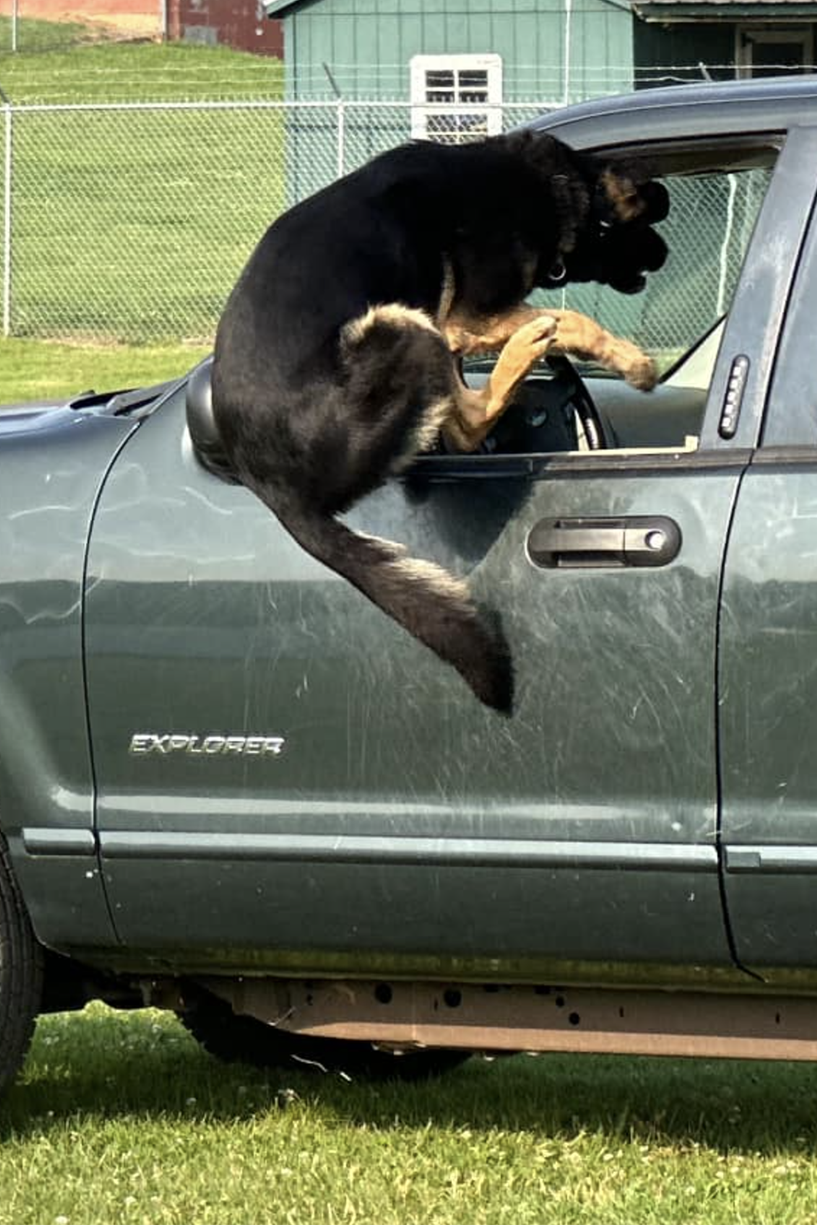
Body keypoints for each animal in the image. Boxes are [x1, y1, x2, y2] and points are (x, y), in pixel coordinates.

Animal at [213, 129, 671, 715]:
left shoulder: (464, 323)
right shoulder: (469, 318)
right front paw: (633, 361)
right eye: (644, 229)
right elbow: (571, 317)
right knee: (470, 418)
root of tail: (276, 490)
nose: (665, 252)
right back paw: (527, 347)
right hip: (408, 326)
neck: (550, 186)